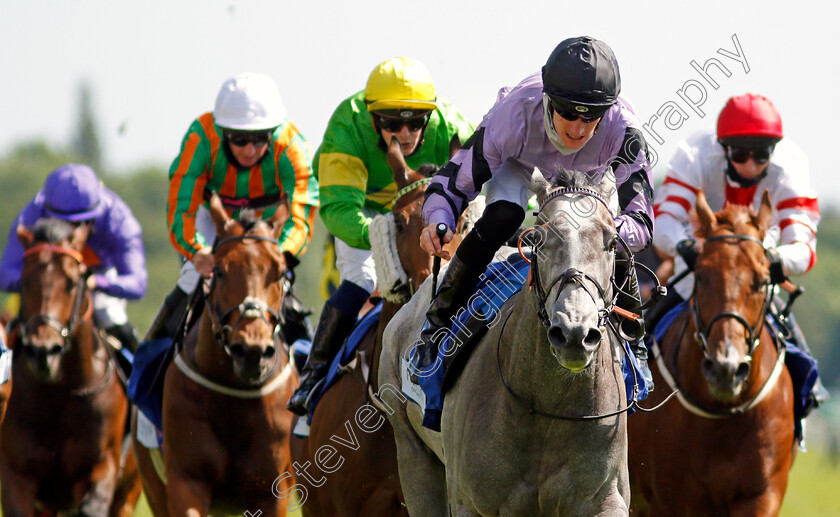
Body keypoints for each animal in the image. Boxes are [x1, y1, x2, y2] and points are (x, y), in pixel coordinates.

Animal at [1, 219, 135, 516]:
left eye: (73, 284)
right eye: (24, 282)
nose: (43, 351)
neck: (59, 394)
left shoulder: (103, 465)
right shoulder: (18, 475)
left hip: (130, 490)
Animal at [133, 192, 296, 516]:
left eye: (281, 272)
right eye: (218, 271)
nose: (252, 352)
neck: (234, 392)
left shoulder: (272, 490)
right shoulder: (186, 479)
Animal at [380, 171, 632, 516]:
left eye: (612, 243)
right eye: (538, 239)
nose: (573, 332)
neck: (546, 407)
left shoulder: (604, 499)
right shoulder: (470, 502)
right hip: (411, 451)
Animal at [628, 189, 796, 516]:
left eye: (761, 281)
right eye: (702, 275)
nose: (725, 369)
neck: (723, 416)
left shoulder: (762, 494)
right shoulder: (672, 500)